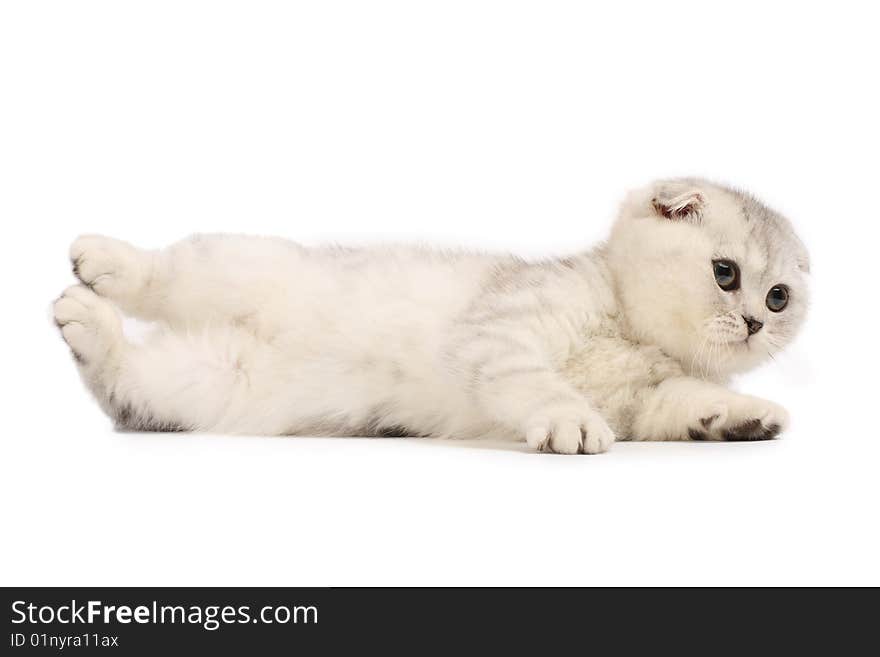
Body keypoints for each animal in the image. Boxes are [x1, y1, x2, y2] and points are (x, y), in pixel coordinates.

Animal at [53, 179, 812, 456]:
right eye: (725, 274)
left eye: (779, 297)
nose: (754, 322)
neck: (631, 330)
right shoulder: (503, 329)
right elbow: (536, 382)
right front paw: (568, 419)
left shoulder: (646, 401)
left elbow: (686, 402)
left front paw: (745, 418)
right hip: (237, 264)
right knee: (164, 273)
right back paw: (96, 268)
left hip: (207, 382)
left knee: (122, 379)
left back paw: (88, 325)